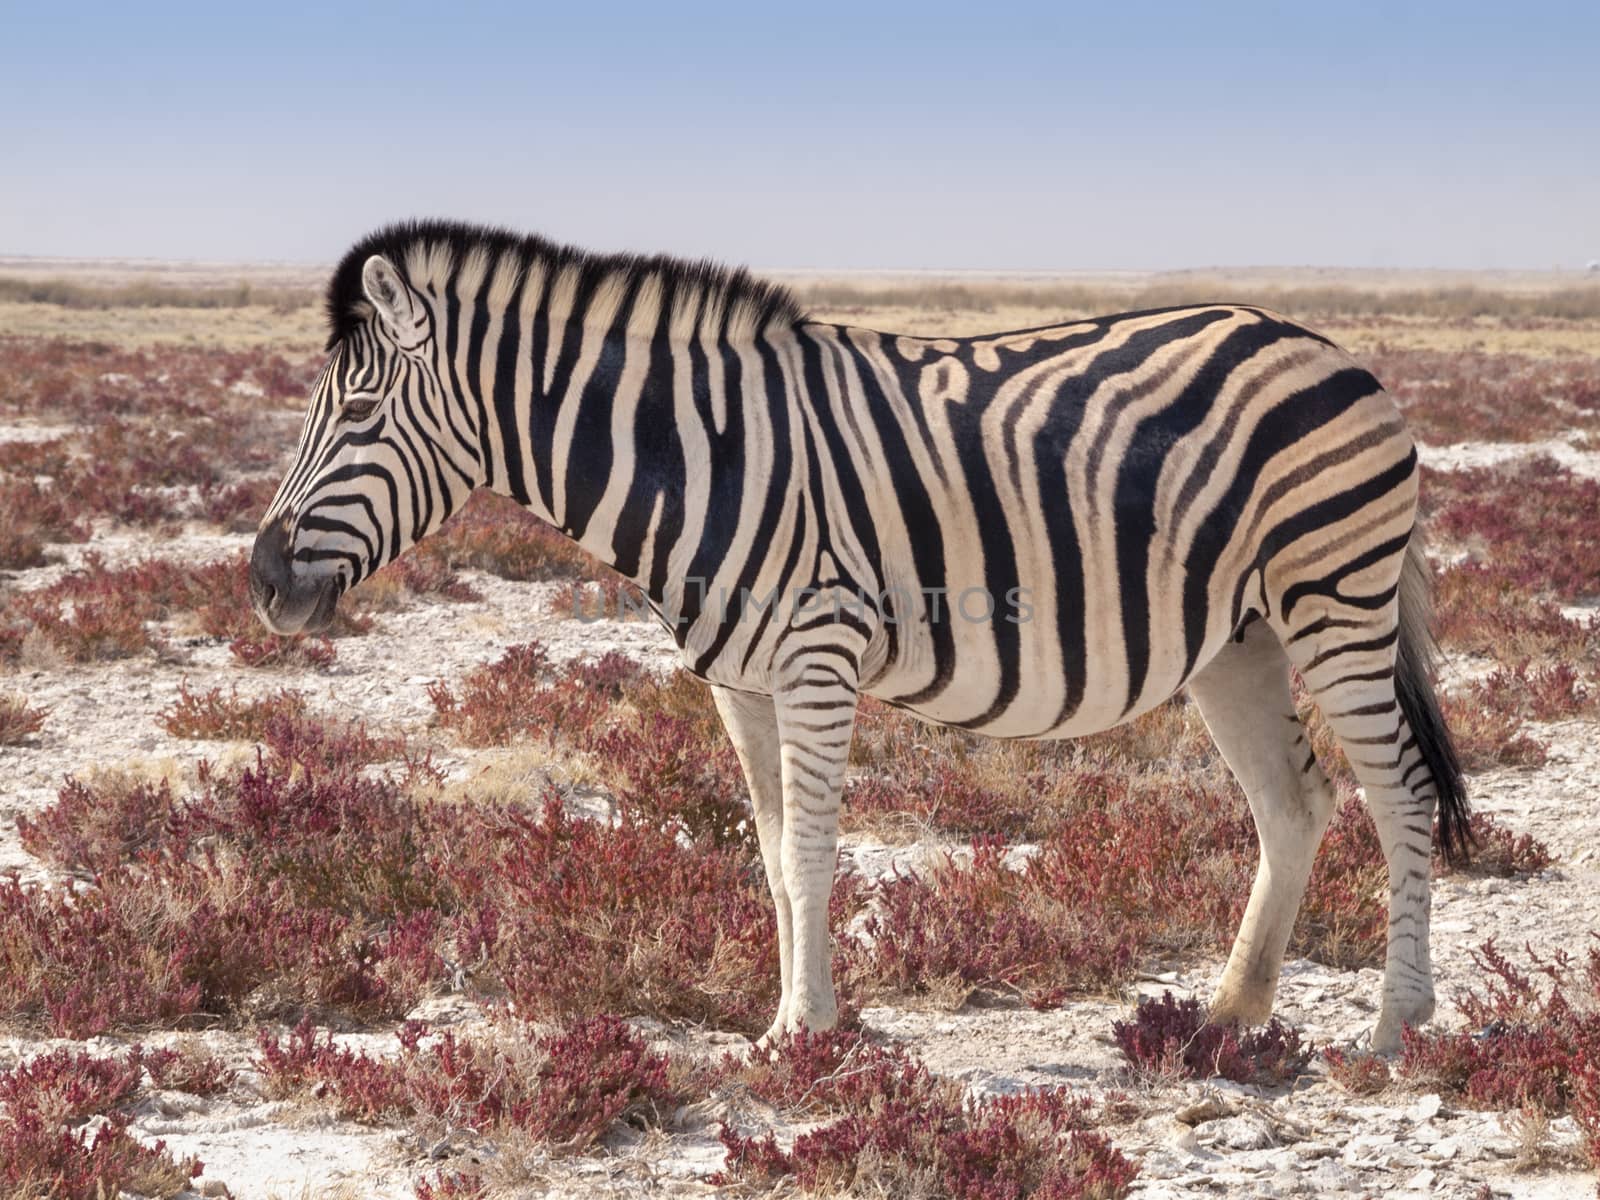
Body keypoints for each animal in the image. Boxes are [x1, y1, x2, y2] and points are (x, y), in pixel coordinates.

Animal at [256, 220, 1465, 1056]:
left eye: (356, 417)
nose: (262, 581)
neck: (703, 452)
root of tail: (1337, 352)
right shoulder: (737, 681)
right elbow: (772, 858)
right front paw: (799, 1025)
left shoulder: (816, 658)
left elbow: (811, 850)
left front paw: (802, 1030)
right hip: (1236, 638)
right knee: (1294, 800)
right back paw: (1225, 1014)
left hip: (1333, 598)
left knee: (1399, 791)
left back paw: (1394, 1026)